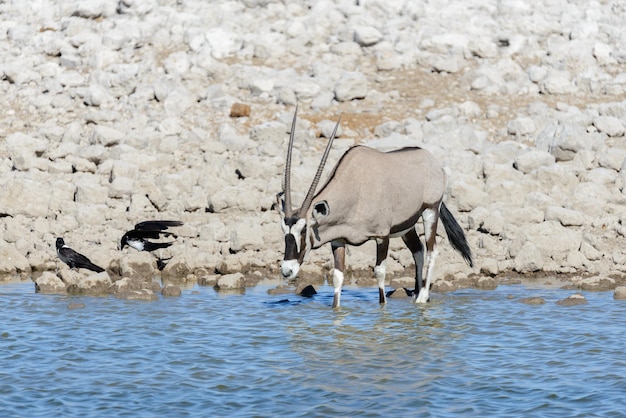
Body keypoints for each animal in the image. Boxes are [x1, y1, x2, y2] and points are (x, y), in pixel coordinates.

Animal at [276, 110, 470, 306]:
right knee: (418, 250)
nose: (287, 271)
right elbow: (338, 277)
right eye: (284, 231)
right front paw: (336, 309)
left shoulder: (382, 236)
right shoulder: (338, 240)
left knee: (431, 250)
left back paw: (422, 297)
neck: (354, 188)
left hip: (431, 210)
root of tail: (432, 160)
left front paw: (382, 306)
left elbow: (379, 272)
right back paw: (417, 292)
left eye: (303, 230)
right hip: (407, 226)